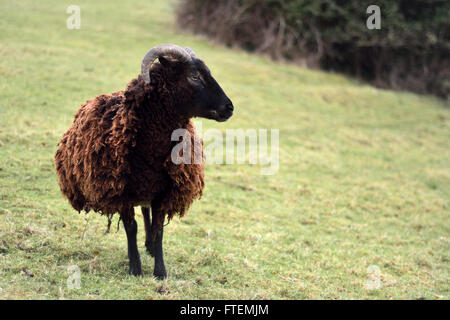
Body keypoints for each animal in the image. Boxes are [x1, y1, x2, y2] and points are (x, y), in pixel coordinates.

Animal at [54, 43, 234, 278]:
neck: (151, 152)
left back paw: (149, 246)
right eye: (194, 76)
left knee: (147, 212)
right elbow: (131, 228)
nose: (229, 108)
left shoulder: (164, 192)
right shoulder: (121, 191)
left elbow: (158, 230)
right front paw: (135, 268)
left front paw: (160, 270)